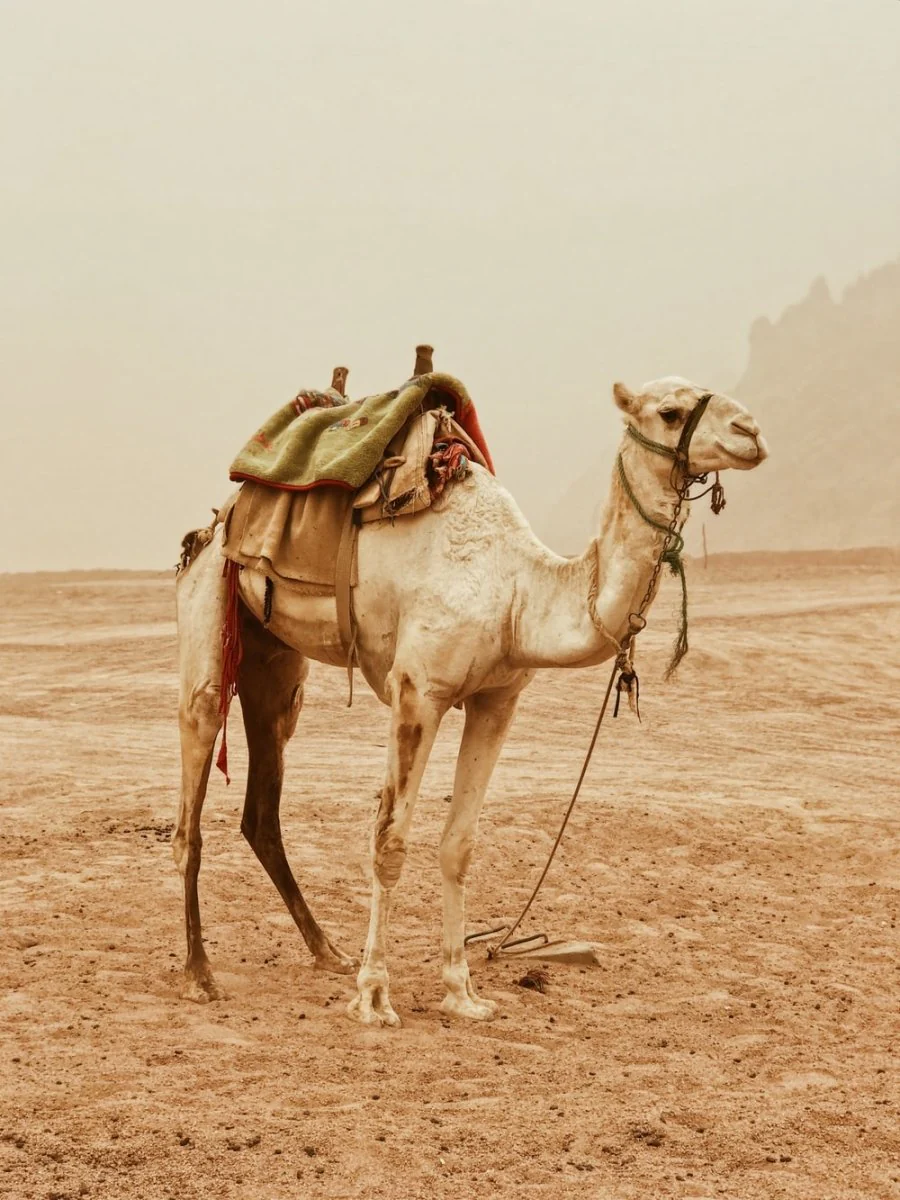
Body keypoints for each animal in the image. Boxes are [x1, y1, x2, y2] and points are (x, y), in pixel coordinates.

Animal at [173, 372, 767, 1026]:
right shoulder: (418, 691)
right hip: (209, 609)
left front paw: (462, 991)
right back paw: (201, 973)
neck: (517, 593)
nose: (751, 432)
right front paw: (374, 996)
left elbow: (458, 844)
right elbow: (388, 842)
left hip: (275, 662)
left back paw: (326, 950)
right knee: (192, 797)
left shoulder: (497, 700)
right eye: (669, 412)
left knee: (262, 804)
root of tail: (215, 523)